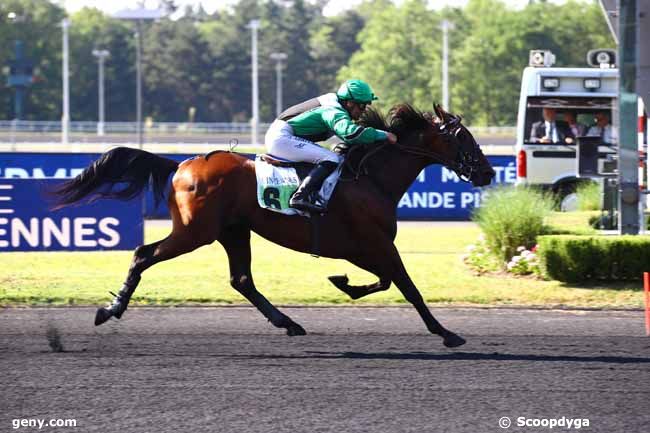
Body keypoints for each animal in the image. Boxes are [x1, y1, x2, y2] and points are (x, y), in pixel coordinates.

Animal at [54, 103, 492, 346]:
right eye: (464, 137)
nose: (487, 172)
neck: (370, 178)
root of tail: (181, 164)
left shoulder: (362, 247)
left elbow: (385, 282)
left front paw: (343, 284)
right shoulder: (377, 244)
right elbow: (408, 288)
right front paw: (447, 333)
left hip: (233, 231)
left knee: (241, 280)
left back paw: (289, 322)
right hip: (195, 233)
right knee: (143, 254)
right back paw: (110, 310)